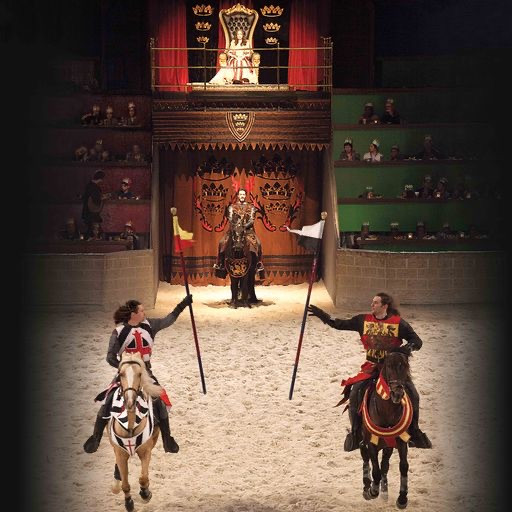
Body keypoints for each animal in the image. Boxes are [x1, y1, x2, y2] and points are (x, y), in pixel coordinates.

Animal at [108, 352, 163, 511]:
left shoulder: (146, 451)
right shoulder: (120, 454)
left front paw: (145, 494)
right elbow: (125, 484)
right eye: (120, 373)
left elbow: (143, 478)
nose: (130, 401)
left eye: (139, 374)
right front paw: (128, 502)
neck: (130, 425)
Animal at [359, 350, 413, 509]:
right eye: (388, 366)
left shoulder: (401, 441)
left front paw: (402, 499)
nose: (397, 394)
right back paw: (368, 487)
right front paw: (372, 491)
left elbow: (403, 466)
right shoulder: (371, 442)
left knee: (384, 464)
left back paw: (384, 492)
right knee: (366, 456)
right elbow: (375, 470)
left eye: (405, 366)